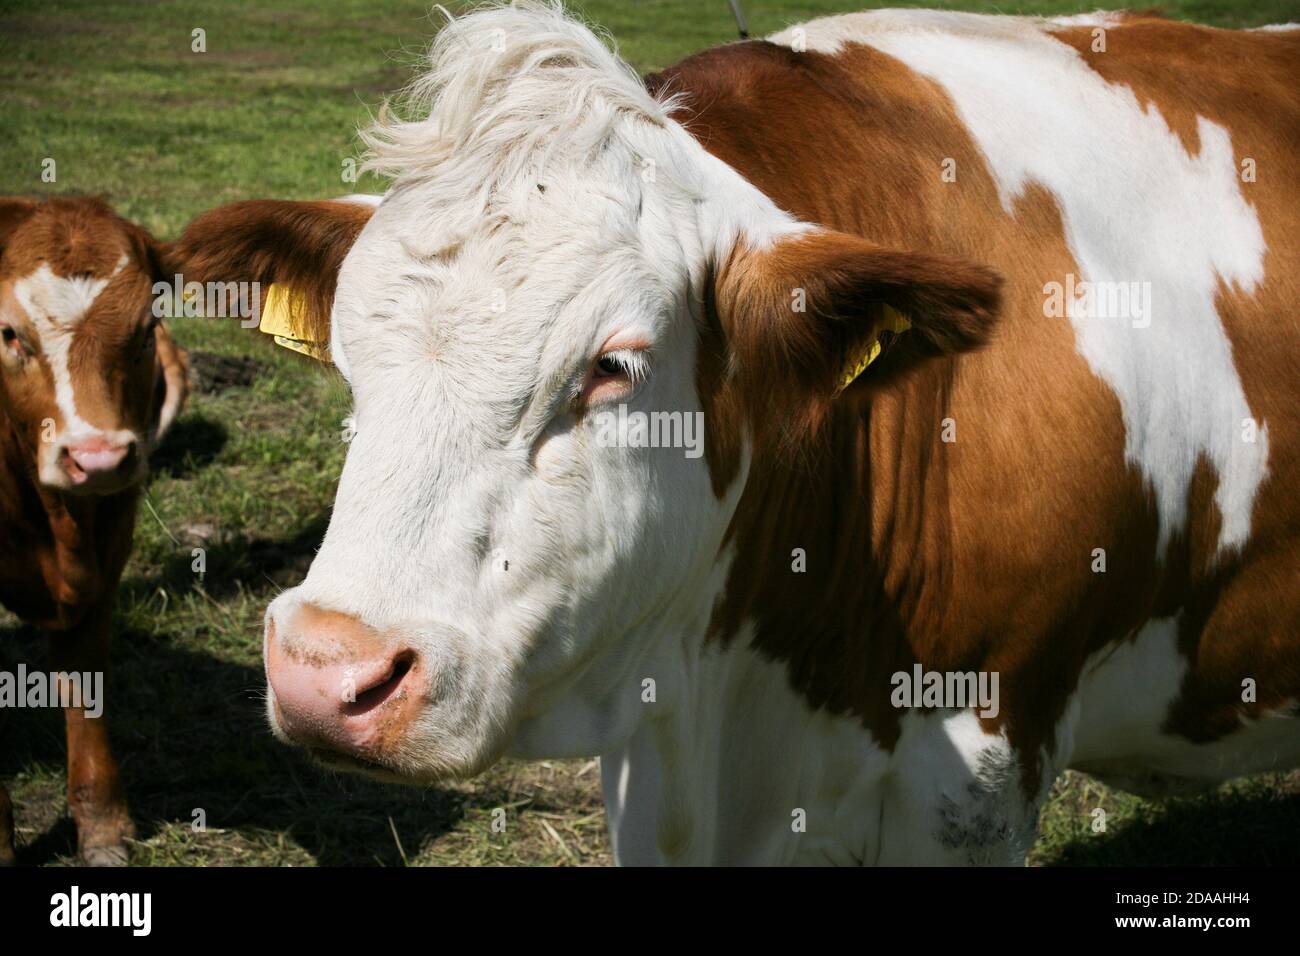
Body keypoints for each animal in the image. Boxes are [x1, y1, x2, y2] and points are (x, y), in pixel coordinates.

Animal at [0, 196, 189, 865]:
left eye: (145, 331)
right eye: (9, 333)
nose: (98, 458)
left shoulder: (108, 561)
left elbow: (85, 690)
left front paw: (103, 825)